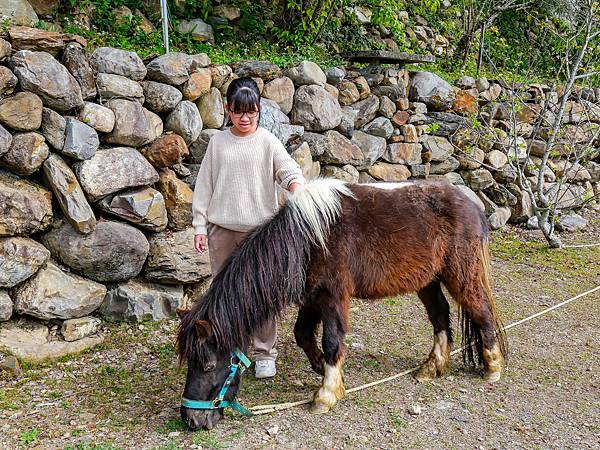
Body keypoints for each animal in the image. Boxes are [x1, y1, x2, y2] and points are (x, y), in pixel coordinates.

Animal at [177, 178, 506, 428]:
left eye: (208, 364)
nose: (192, 420)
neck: (307, 238)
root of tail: (472, 204)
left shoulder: (333, 297)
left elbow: (332, 341)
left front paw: (326, 394)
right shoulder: (313, 297)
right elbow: (302, 334)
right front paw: (322, 369)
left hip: (461, 275)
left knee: (481, 312)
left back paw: (492, 367)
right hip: (428, 281)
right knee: (440, 316)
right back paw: (431, 367)